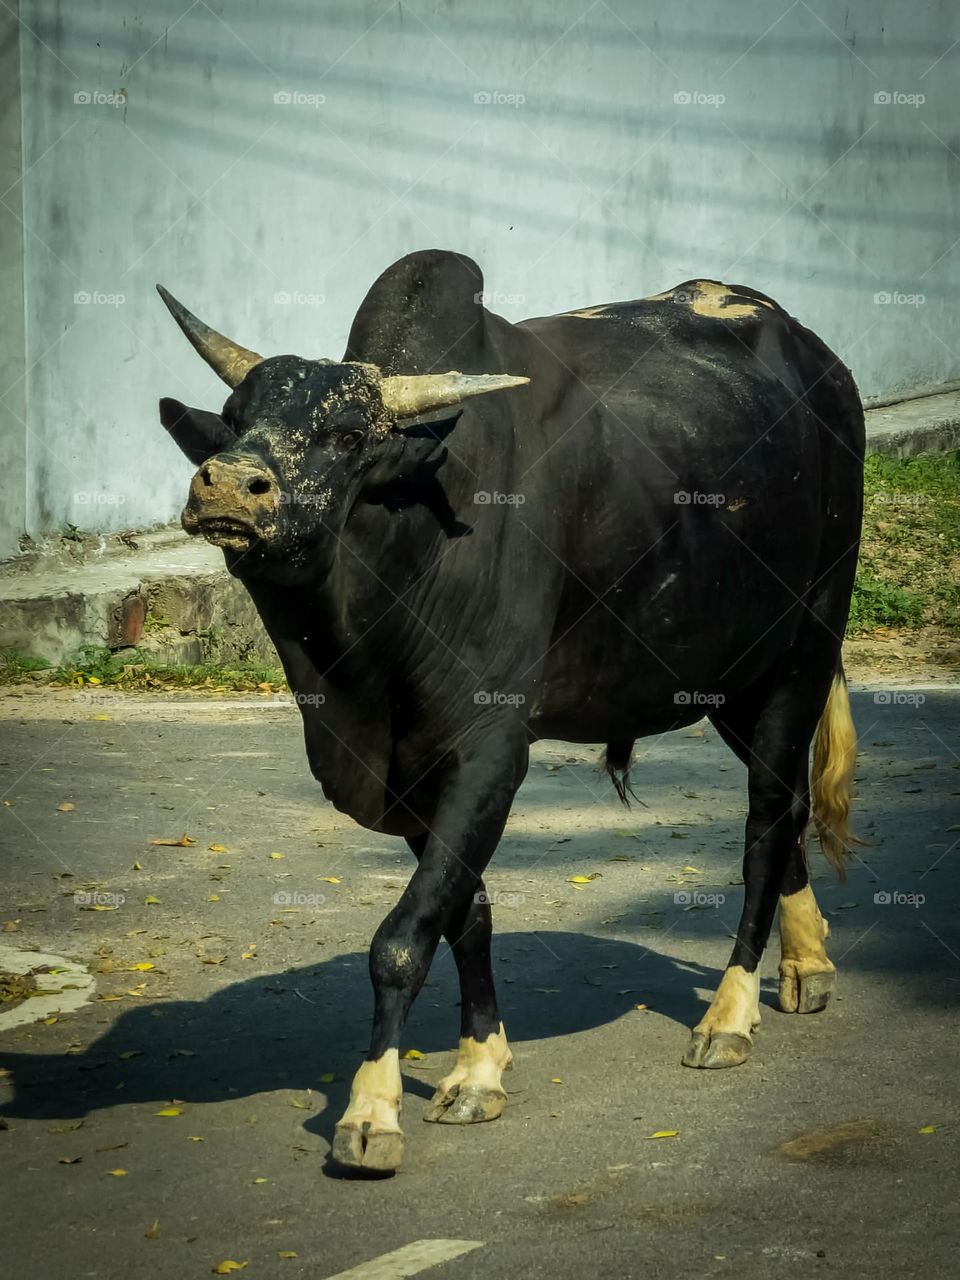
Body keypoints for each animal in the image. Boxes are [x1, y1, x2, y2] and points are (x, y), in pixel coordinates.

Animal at [156, 249, 865, 1172]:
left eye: (347, 436)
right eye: (236, 421)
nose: (228, 487)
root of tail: (822, 365)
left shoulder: (489, 748)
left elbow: (402, 937)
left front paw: (373, 1111)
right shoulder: (416, 774)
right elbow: (466, 914)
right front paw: (479, 1069)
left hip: (804, 649)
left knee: (767, 818)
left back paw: (730, 1014)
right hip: (730, 675)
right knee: (789, 808)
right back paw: (806, 966)